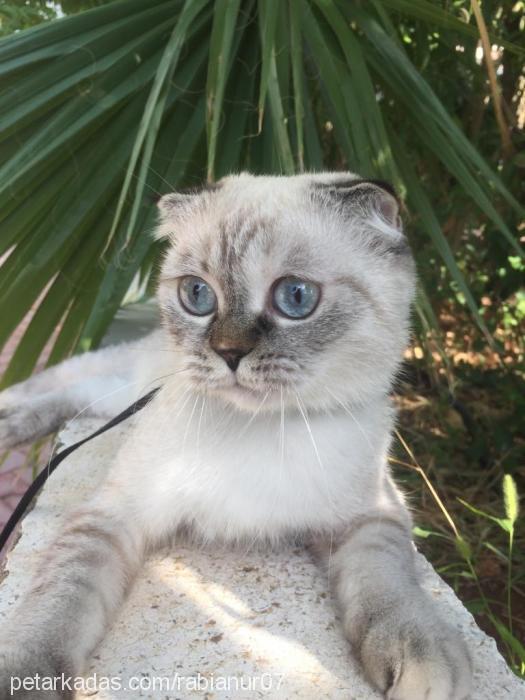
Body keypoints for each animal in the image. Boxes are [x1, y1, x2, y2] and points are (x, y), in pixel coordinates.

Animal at [0, 172, 470, 696]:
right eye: (197, 295)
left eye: (296, 297)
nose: (228, 352)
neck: (260, 430)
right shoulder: (115, 515)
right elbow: (57, 605)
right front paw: (22, 674)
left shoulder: (373, 515)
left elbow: (390, 584)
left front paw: (424, 657)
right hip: (126, 382)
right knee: (54, 382)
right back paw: (5, 420)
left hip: (119, 397)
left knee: (71, 395)